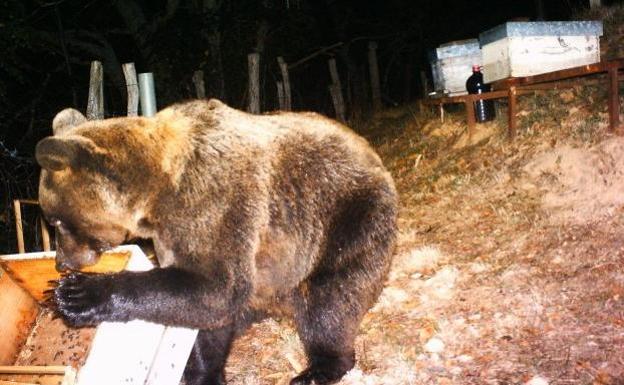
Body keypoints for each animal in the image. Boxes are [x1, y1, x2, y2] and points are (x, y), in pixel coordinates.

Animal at [35, 99, 394, 384]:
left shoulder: (216, 203)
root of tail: (373, 154)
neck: (157, 195)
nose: (61, 262)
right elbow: (205, 315)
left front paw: (74, 294)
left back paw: (319, 368)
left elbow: (217, 288)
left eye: (55, 220)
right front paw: (202, 372)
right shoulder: (176, 233)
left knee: (332, 297)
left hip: (348, 217)